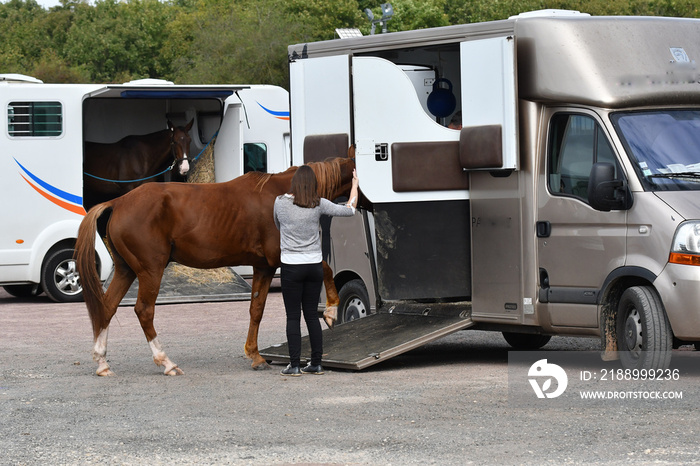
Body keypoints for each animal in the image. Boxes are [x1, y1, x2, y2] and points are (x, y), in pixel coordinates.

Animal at [75, 157, 356, 374]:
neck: (285, 192)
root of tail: (119, 202)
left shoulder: (263, 267)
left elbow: (256, 309)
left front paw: (255, 355)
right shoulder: (281, 257)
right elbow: (325, 268)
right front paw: (331, 310)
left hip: (126, 271)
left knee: (107, 308)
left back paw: (102, 363)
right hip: (149, 271)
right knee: (144, 311)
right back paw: (166, 362)